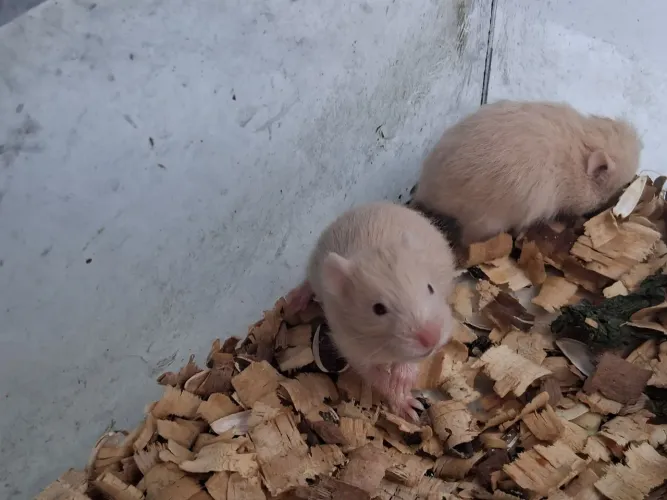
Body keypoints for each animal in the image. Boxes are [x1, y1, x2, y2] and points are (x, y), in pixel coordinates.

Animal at [287, 202, 456, 420]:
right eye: (378, 309)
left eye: (430, 288)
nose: (433, 337)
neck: (384, 345)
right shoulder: (353, 349)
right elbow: (377, 377)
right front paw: (407, 405)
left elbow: (411, 362)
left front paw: (402, 382)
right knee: (309, 283)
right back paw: (293, 302)